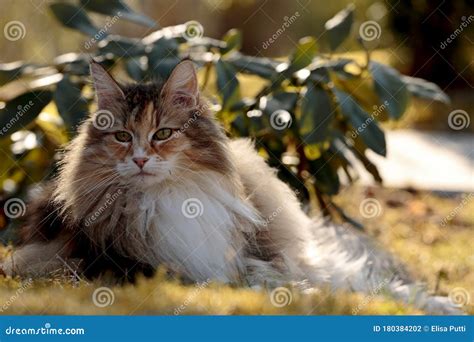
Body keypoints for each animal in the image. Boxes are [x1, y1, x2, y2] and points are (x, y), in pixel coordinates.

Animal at [0, 59, 460, 316]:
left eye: (163, 134)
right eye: (122, 137)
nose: (141, 160)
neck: (166, 199)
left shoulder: (243, 259)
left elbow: (283, 277)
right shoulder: (159, 270)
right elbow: (262, 284)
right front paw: (304, 297)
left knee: (350, 273)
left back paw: (437, 302)